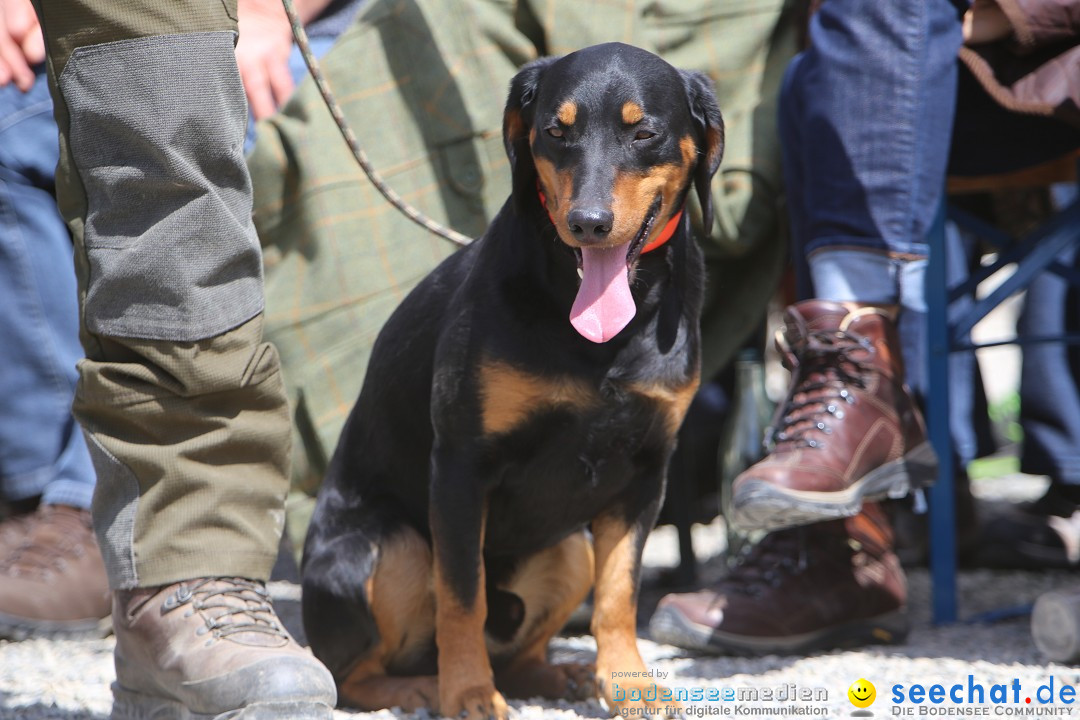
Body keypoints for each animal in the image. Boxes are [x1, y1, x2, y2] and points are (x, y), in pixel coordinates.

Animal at [302, 42, 725, 716]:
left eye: (644, 133)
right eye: (555, 131)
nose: (588, 223)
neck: (602, 337)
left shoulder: (645, 472)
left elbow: (619, 594)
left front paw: (627, 685)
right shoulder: (459, 465)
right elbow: (461, 597)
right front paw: (469, 693)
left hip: (570, 548)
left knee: (524, 651)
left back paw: (561, 674)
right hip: (385, 550)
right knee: (355, 674)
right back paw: (425, 685)